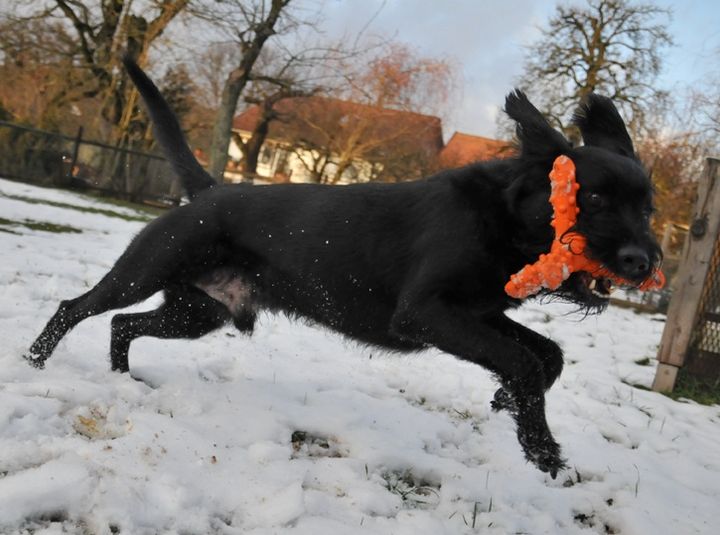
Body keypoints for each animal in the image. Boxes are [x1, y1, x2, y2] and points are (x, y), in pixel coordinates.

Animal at [25, 58, 660, 478]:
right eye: (595, 199)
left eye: (648, 207)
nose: (642, 261)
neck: (504, 217)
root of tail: (208, 191)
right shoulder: (427, 314)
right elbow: (526, 363)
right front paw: (542, 449)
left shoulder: (480, 314)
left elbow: (546, 356)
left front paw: (507, 401)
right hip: (143, 272)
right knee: (77, 308)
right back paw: (34, 362)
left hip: (197, 313)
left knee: (121, 325)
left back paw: (120, 379)